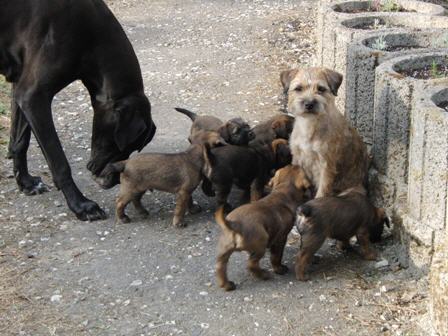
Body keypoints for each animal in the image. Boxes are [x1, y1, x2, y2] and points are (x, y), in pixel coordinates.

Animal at [0, 0, 156, 220]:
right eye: (126, 146)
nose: (113, 182)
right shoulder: (34, 96)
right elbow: (60, 163)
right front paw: (81, 205)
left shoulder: (20, 89)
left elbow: (19, 141)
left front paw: (26, 183)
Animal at [282, 67, 370, 198]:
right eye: (298, 88)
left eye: (321, 89)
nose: (309, 104)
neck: (310, 124)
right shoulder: (297, 158)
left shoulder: (326, 166)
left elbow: (322, 192)